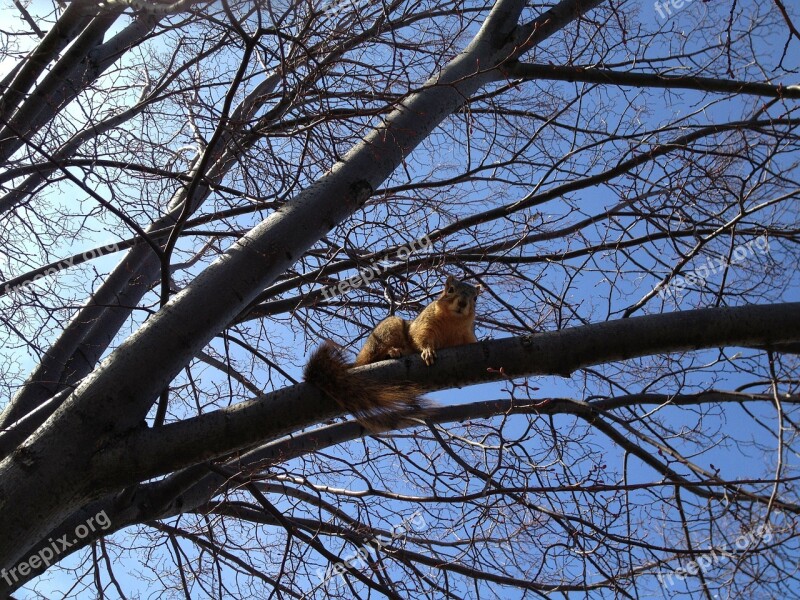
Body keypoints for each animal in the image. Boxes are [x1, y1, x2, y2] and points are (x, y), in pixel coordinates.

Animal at [304, 276, 482, 432]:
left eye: (475, 298)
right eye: (450, 290)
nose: (462, 303)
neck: (453, 321)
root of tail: (358, 360)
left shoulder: (466, 335)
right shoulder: (424, 324)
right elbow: (420, 336)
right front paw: (427, 351)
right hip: (387, 331)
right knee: (374, 356)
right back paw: (393, 352)